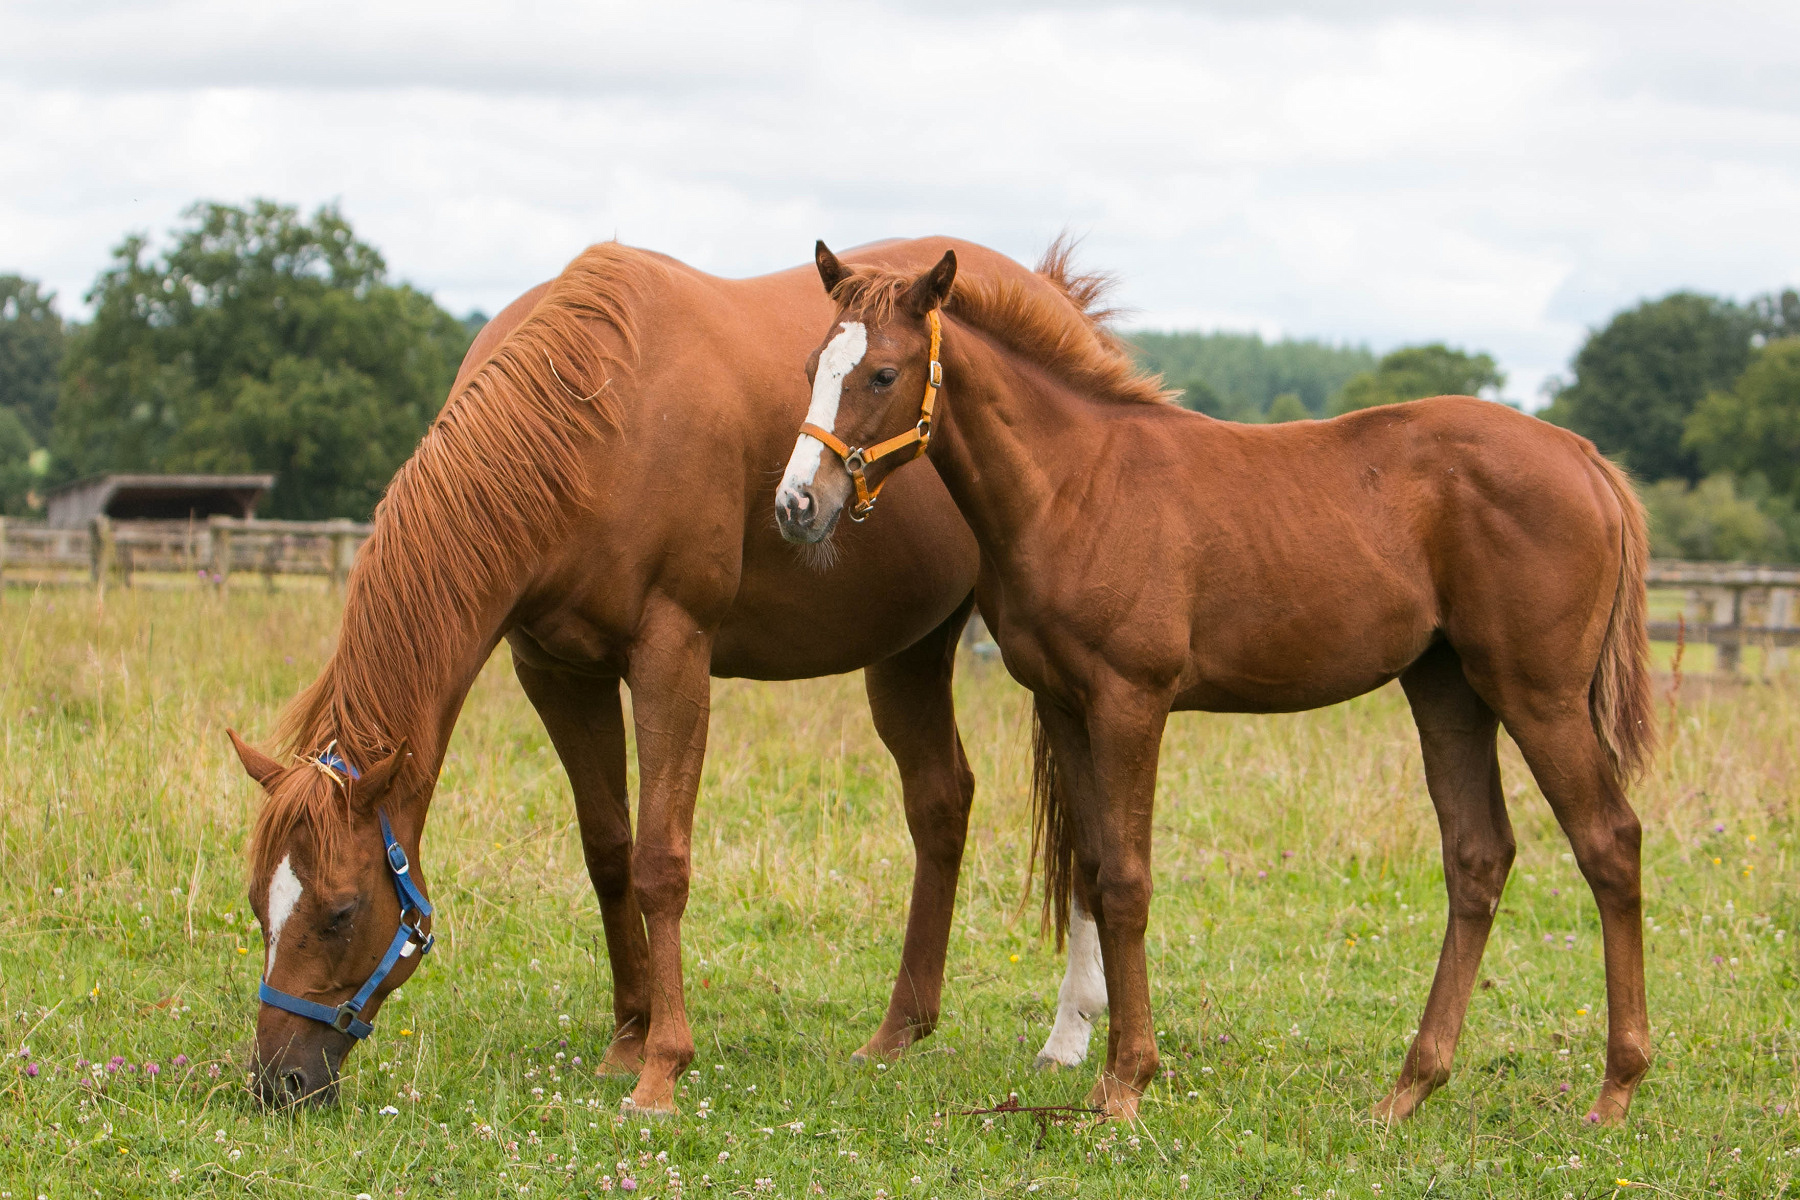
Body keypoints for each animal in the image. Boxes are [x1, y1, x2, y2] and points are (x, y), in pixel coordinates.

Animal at [226, 239, 1000, 1115]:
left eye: (340, 911)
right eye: (257, 904)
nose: (277, 1081)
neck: (598, 418)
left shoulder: (673, 656)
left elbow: (660, 862)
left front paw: (663, 1063)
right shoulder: (557, 671)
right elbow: (608, 853)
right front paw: (629, 1036)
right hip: (909, 654)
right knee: (939, 802)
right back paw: (902, 1029)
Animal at [781, 237, 1648, 1129]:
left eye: (883, 374)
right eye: (815, 365)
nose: (798, 504)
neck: (1074, 484)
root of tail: (1584, 458)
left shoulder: (1132, 700)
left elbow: (1128, 880)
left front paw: (1126, 1081)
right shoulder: (1065, 704)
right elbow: (1097, 867)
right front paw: (1108, 1068)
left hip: (1538, 697)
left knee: (1609, 843)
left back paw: (1615, 1088)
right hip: (1448, 691)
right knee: (1477, 856)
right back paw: (1411, 1086)